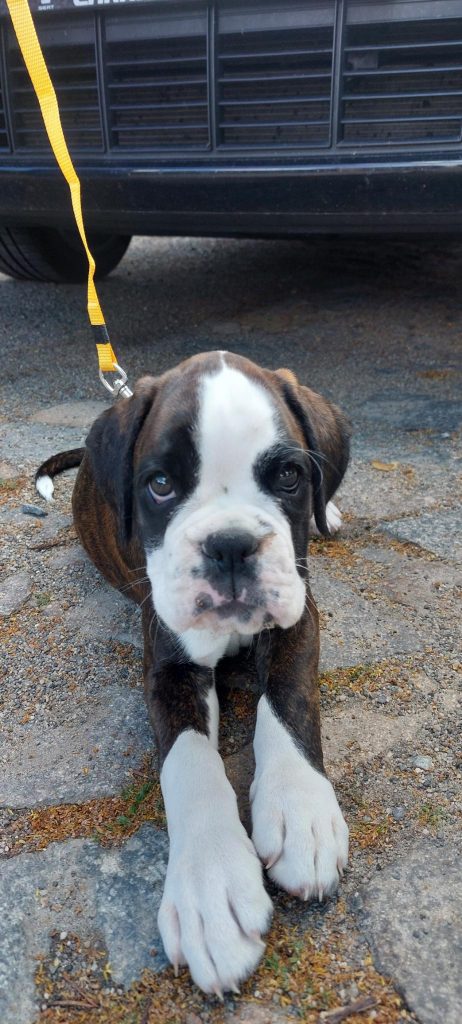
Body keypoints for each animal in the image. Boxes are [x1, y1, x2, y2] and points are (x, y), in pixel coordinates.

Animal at [37, 354, 350, 999]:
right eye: (159, 485)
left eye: (288, 477)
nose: (230, 545)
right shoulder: (169, 668)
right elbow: (189, 761)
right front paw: (211, 887)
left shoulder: (297, 616)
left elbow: (288, 701)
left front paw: (301, 808)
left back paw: (328, 513)